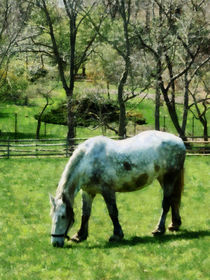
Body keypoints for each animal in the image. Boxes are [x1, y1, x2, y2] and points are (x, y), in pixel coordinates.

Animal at [49, 130, 185, 246]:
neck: (88, 161)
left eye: (63, 216)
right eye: (51, 216)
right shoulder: (87, 192)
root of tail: (179, 141)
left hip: (169, 178)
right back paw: (174, 224)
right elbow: (85, 214)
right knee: (173, 200)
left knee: (166, 203)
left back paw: (159, 229)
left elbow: (113, 212)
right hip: (163, 179)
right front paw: (80, 236)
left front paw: (116, 235)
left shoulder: (108, 191)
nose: (55, 243)